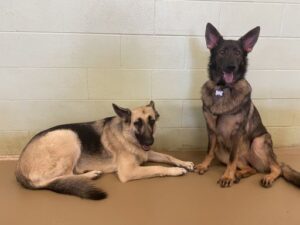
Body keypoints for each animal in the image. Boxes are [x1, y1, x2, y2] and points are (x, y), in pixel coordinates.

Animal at [15, 101, 195, 200]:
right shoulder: (129, 171)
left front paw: (184, 163)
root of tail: (19, 166)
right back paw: (91, 174)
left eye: (152, 121)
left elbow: (168, 156)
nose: (149, 141)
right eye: (137, 123)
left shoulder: (146, 153)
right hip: (69, 136)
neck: (126, 134)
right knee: (62, 176)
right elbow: (158, 167)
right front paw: (176, 170)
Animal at [195, 22, 300, 188]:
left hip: (258, 142)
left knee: (277, 168)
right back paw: (239, 174)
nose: (231, 66)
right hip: (222, 151)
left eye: (238, 53)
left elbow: (232, 158)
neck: (223, 88)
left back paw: (266, 177)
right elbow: (209, 151)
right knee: (252, 169)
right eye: (222, 52)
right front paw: (205, 165)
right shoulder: (211, 131)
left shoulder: (237, 134)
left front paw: (227, 176)